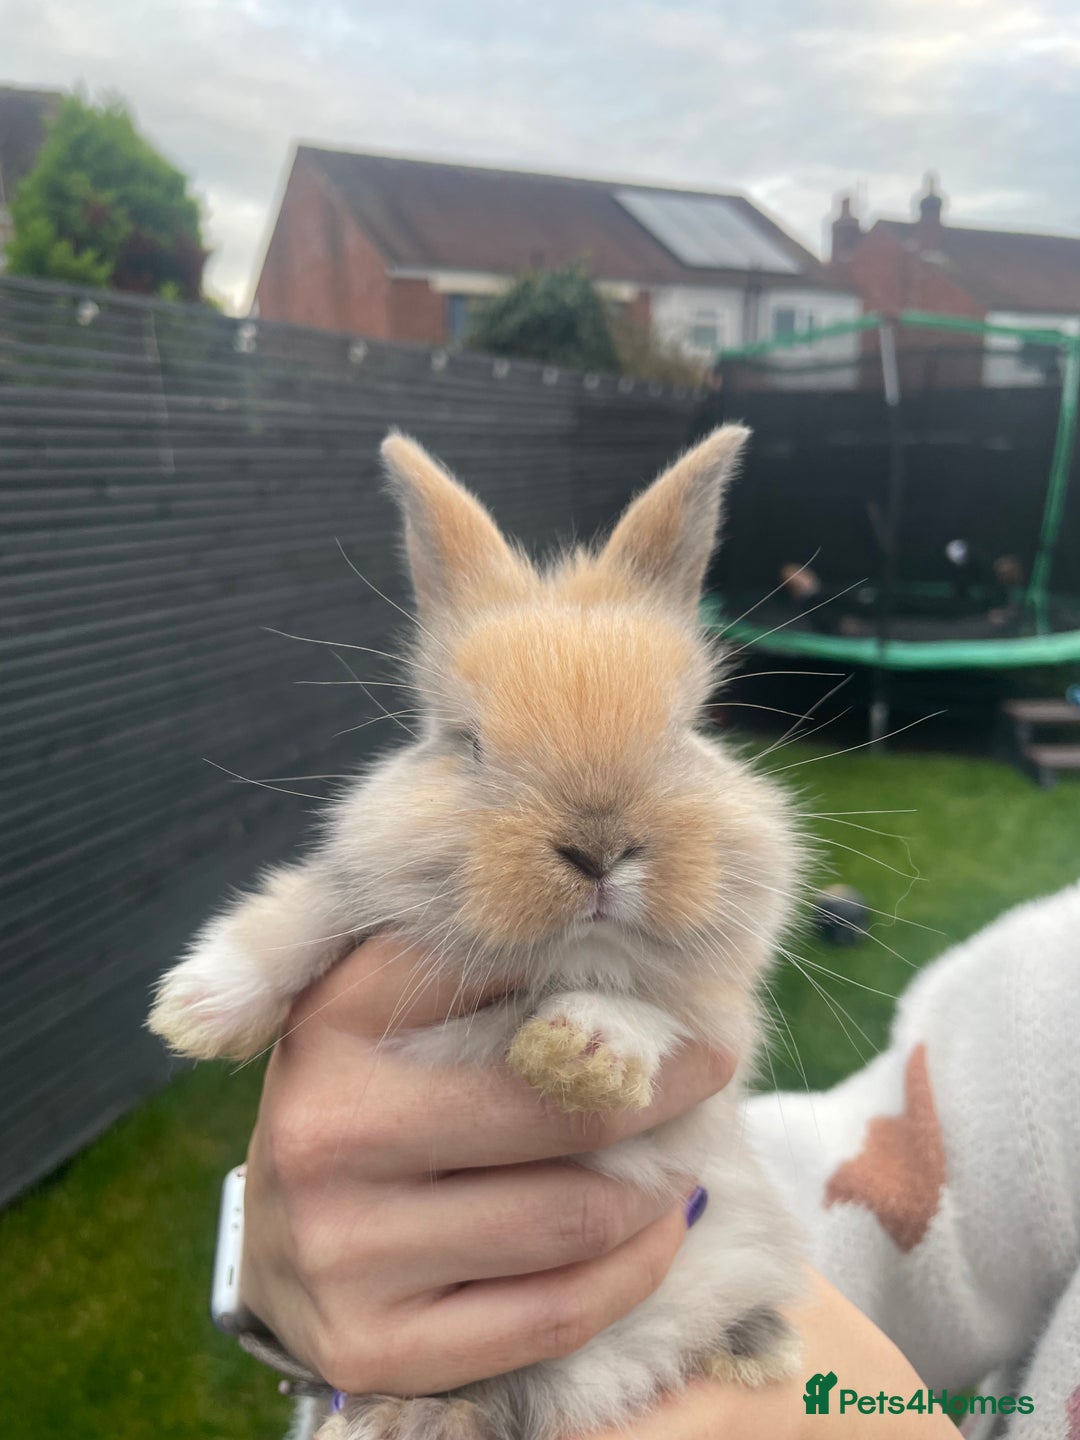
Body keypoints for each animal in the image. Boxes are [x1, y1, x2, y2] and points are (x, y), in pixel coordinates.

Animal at [148, 424, 808, 1440]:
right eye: (466, 743)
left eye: (685, 733)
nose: (599, 847)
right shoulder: (359, 884)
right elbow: (305, 907)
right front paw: (196, 1008)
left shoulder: (719, 1018)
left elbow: (654, 1009)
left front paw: (582, 1052)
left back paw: (750, 1351)